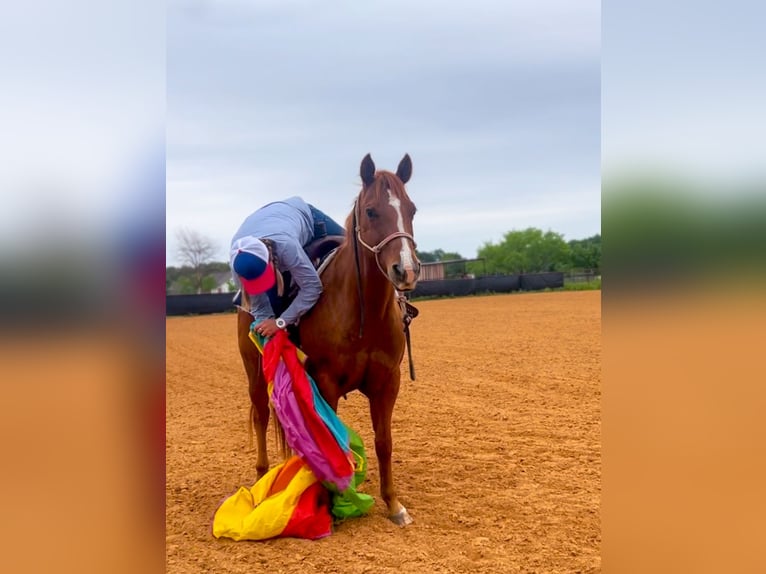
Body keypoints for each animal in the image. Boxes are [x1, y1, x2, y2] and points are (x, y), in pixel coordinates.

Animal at [237, 155, 424, 528]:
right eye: (370, 211)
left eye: (411, 209)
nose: (406, 271)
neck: (364, 314)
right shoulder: (326, 381)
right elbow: (331, 441)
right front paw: (332, 502)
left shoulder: (388, 382)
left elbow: (384, 442)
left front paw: (393, 504)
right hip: (254, 368)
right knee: (261, 415)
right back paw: (261, 476)